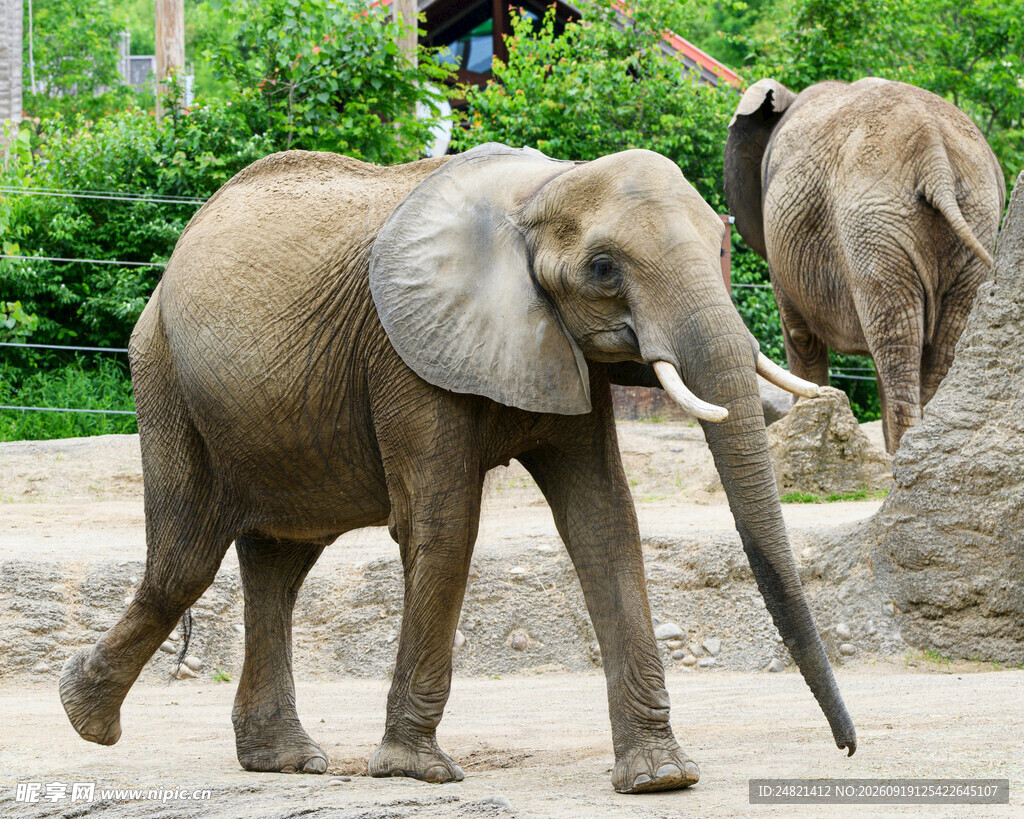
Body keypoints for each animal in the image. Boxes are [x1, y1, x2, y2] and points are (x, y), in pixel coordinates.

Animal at [59, 143, 855, 793]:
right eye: (603, 269)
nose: (847, 750)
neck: (539, 191)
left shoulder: (556, 347)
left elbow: (603, 521)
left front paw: (661, 779)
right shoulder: (403, 352)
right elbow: (443, 524)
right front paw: (418, 771)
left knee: (279, 561)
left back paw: (280, 759)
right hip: (163, 371)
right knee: (187, 558)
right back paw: (84, 716)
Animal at [724, 78, 1005, 451]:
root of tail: (935, 156)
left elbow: (800, 337)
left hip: (871, 226)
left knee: (895, 342)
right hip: (970, 218)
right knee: (935, 345)